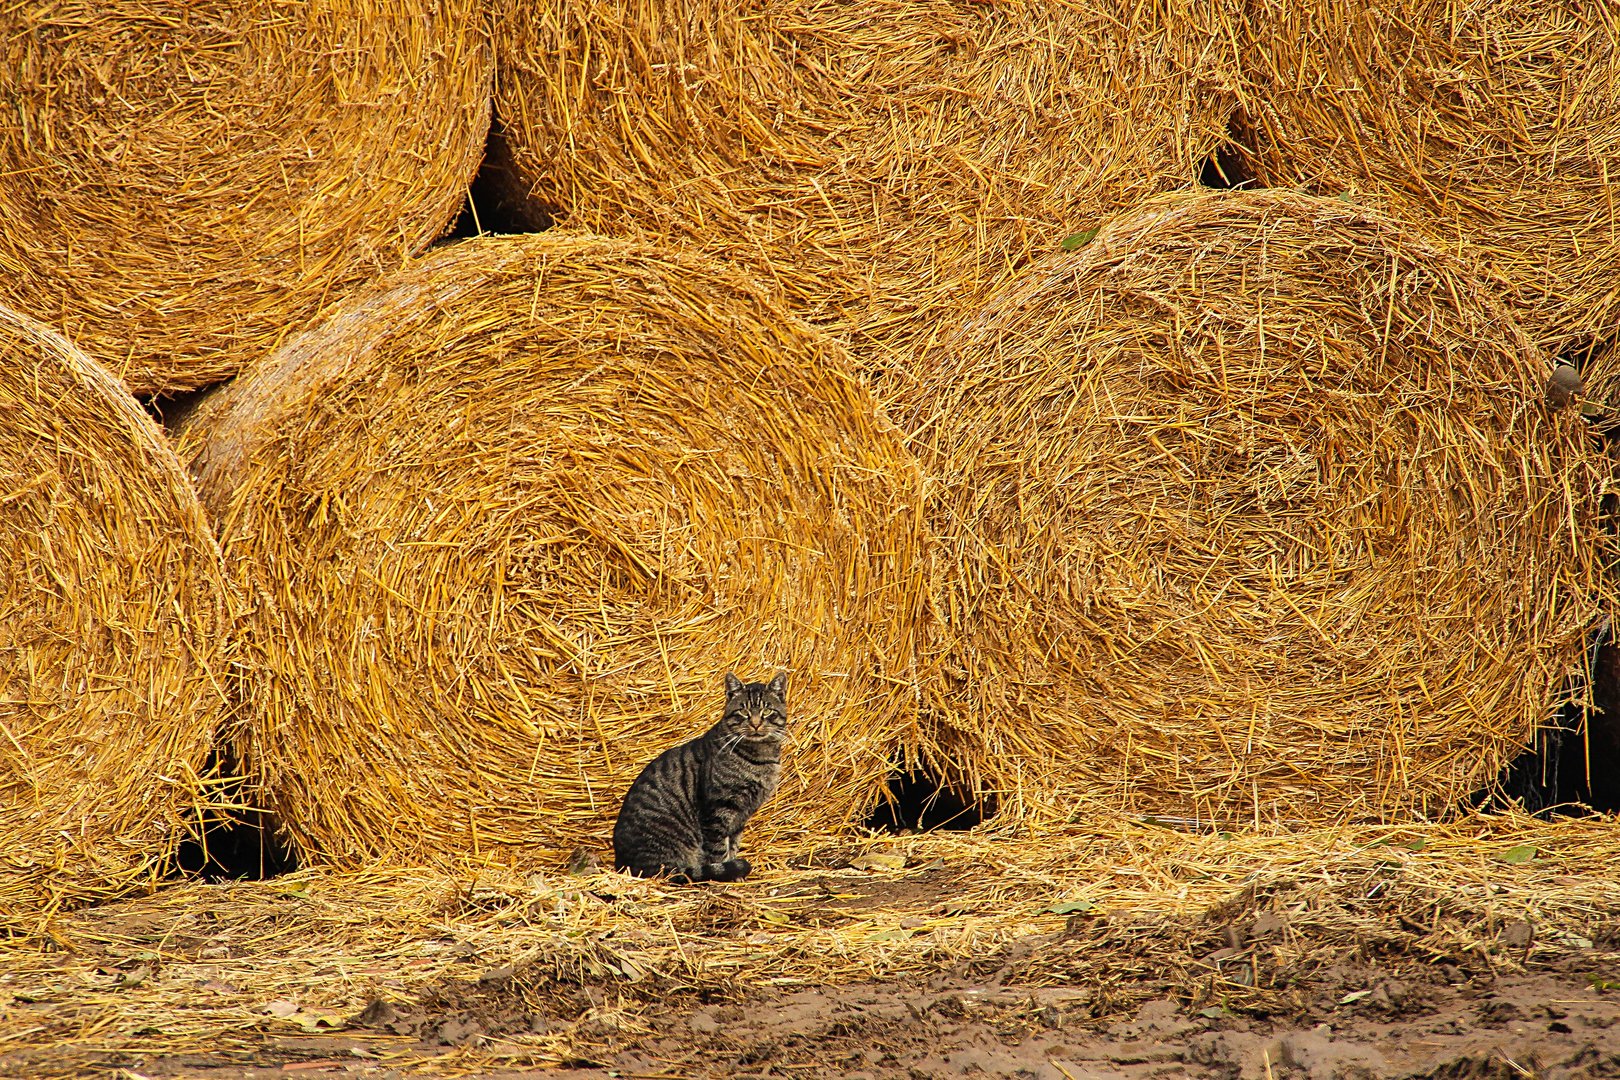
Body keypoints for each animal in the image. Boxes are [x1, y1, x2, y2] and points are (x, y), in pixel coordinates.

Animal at [609, 670, 787, 880]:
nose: (756, 724)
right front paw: (726, 874)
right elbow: (718, 851)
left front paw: (736, 872)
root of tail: (622, 863)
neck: (760, 757)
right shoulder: (717, 810)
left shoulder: (740, 817)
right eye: (744, 711)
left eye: (767, 711)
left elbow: (733, 845)